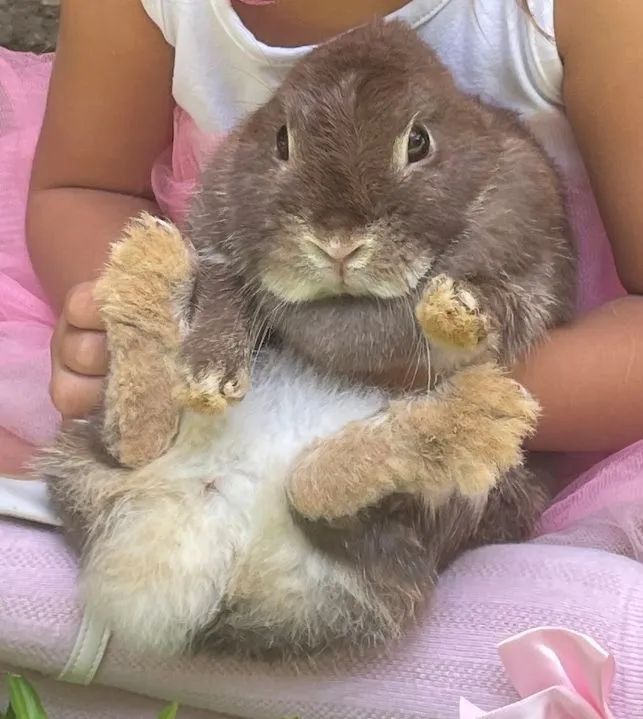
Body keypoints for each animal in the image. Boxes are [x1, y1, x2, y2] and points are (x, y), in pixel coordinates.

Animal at [37, 20, 575, 659]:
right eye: (282, 141)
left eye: (419, 142)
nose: (338, 242)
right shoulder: (221, 242)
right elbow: (223, 300)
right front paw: (208, 373)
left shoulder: (527, 269)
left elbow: (475, 321)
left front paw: (454, 309)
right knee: (137, 441)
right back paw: (147, 264)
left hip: (449, 516)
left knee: (315, 492)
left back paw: (480, 416)